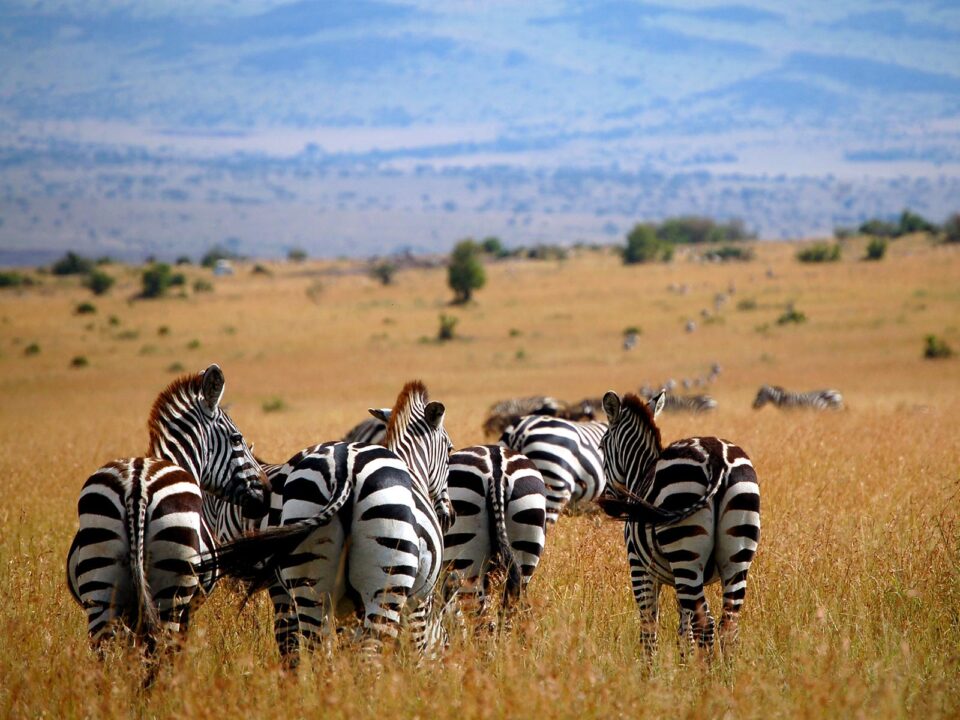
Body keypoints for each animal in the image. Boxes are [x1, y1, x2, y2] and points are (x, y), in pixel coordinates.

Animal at [66, 368, 266, 668]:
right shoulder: (189, 607)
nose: (267, 492)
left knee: (104, 657)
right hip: (171, 592)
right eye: (236, 439)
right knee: (161, 653)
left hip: (99, 589)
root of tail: (136, 486)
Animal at [596, 390, 760, 660]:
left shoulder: (640, 568)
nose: (608, 502)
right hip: (736, 555)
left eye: (600, 446)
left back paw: (706, 673)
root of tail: (717, 456)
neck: (640, 472)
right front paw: (684, 663)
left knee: (706, 623)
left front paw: (649, 670)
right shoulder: (675, 580)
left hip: (685, 553)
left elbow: (649, 626)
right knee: (728, 625)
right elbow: (684, 631)